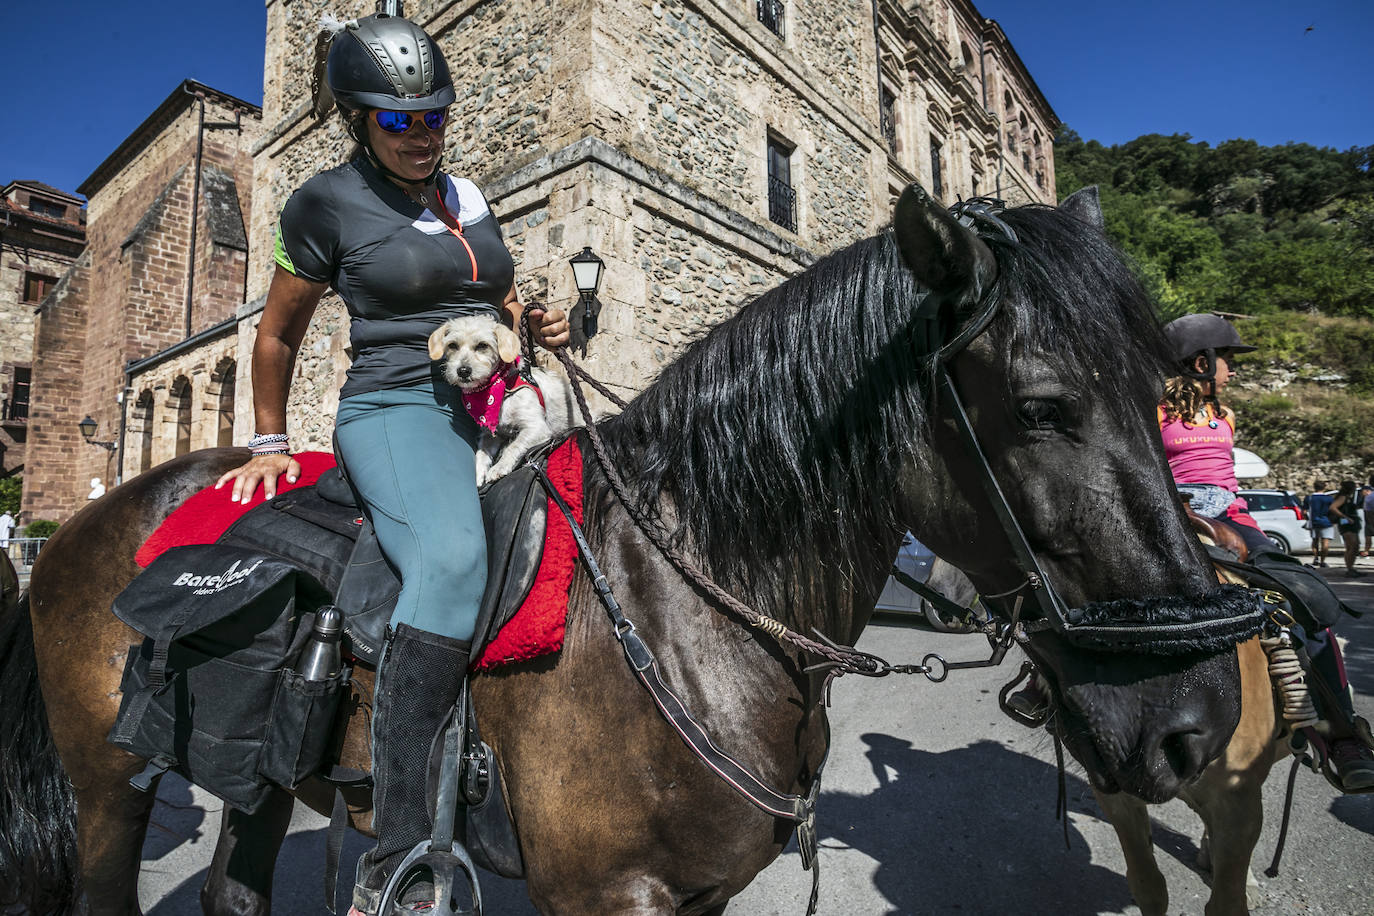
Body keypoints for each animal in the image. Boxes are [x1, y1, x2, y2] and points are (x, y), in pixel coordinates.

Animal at [428, 317, 579, 486]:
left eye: (482, 345)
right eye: (452, 345)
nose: (463, 371)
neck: (502, 389)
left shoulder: (537, 428)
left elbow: (514, 446)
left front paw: (498, 468)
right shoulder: (490, 434)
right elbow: (481, 454)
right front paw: (478, 473)